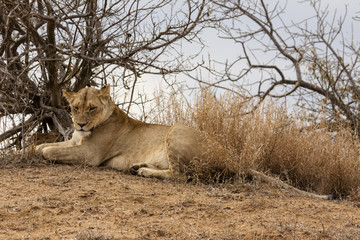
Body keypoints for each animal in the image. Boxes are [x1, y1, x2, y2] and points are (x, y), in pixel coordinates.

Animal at [36, 86, 334, 201]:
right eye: (75, 107)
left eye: (92, 108)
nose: (80, 124)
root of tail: (230, 156)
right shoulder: (75, 143)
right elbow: (46, 147)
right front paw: (33, 148)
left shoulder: (90, 155)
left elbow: (49, 150)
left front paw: (39, 153)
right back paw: (138, 167)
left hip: (177, 130)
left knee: (182, 176)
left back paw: (143, 171)